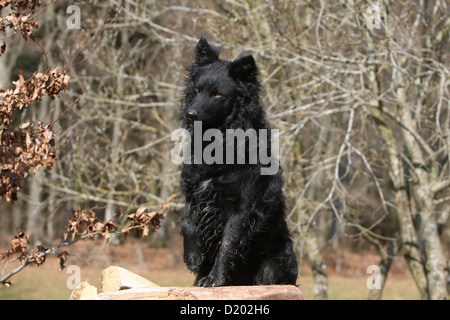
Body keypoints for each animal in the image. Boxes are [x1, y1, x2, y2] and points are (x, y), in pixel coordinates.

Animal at [179, 36, 298, 286]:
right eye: (196, 89)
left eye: (217, 95)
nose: (190, 114)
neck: (216, 141)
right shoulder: (193, 190)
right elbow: (187, 222)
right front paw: (193, 257)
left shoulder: (241, 209)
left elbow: (228, 244)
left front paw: (214, 279)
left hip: (271, 268)